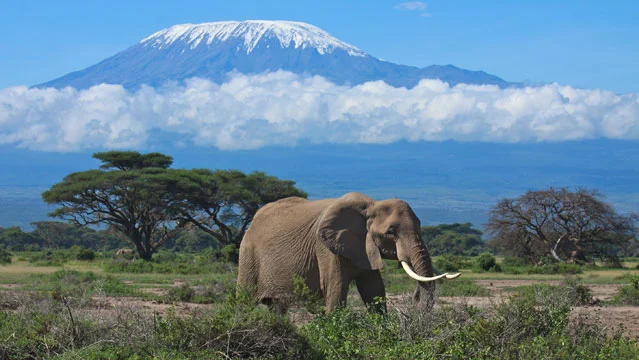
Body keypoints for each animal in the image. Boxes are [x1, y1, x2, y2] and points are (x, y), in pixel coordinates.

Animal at [238, 191, 462, 312]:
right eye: (391, 232)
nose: (415, 297)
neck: (371, 205)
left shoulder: (365, 246)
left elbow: (374, 290)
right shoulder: (325, 248)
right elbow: (335, 288)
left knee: (277, 307)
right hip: (248, 254)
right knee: (244, 300)